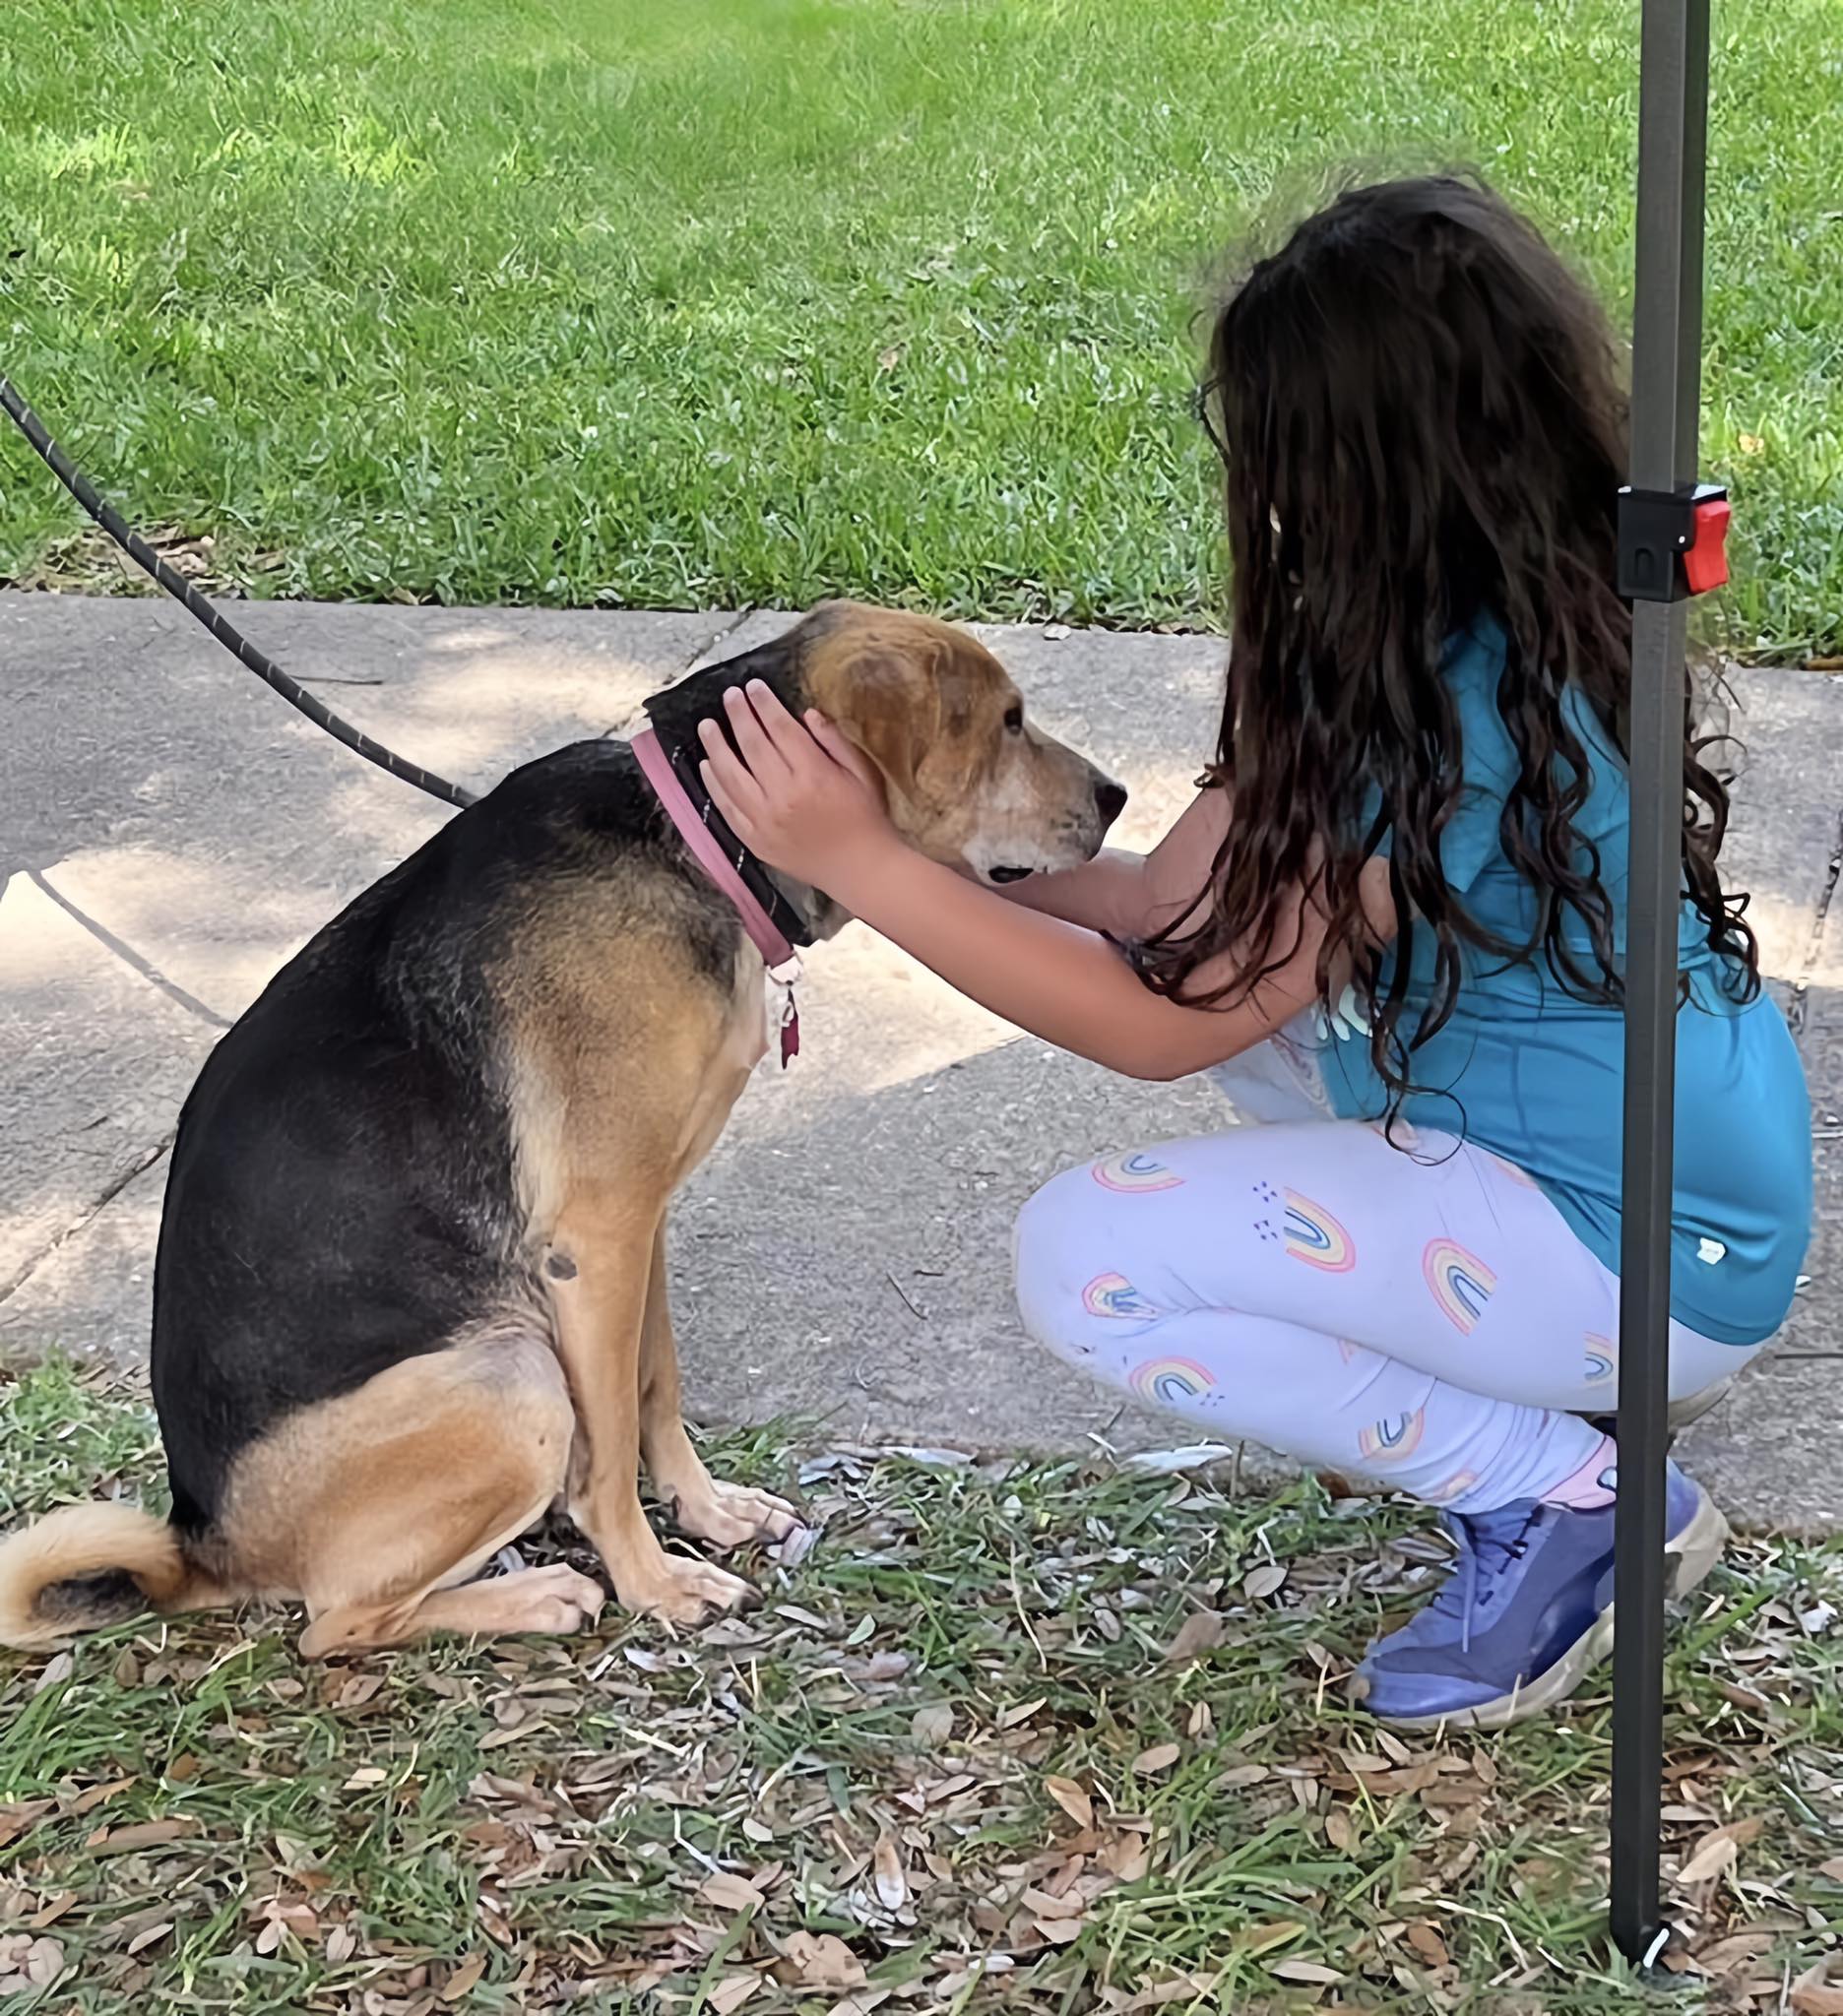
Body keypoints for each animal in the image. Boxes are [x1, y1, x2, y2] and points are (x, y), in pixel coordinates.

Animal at [0, 604, 1120, 1661]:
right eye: (1008, 721)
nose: (1116, 799)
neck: (694, 835)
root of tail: (207, 1548)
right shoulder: (597, 1240)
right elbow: (611, 1443)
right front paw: (653, 1582)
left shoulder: (640, 1222)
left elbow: (656, 1388)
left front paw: (705, 1513)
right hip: (511, 1374)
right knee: (334, 1623)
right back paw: (538, 1595)